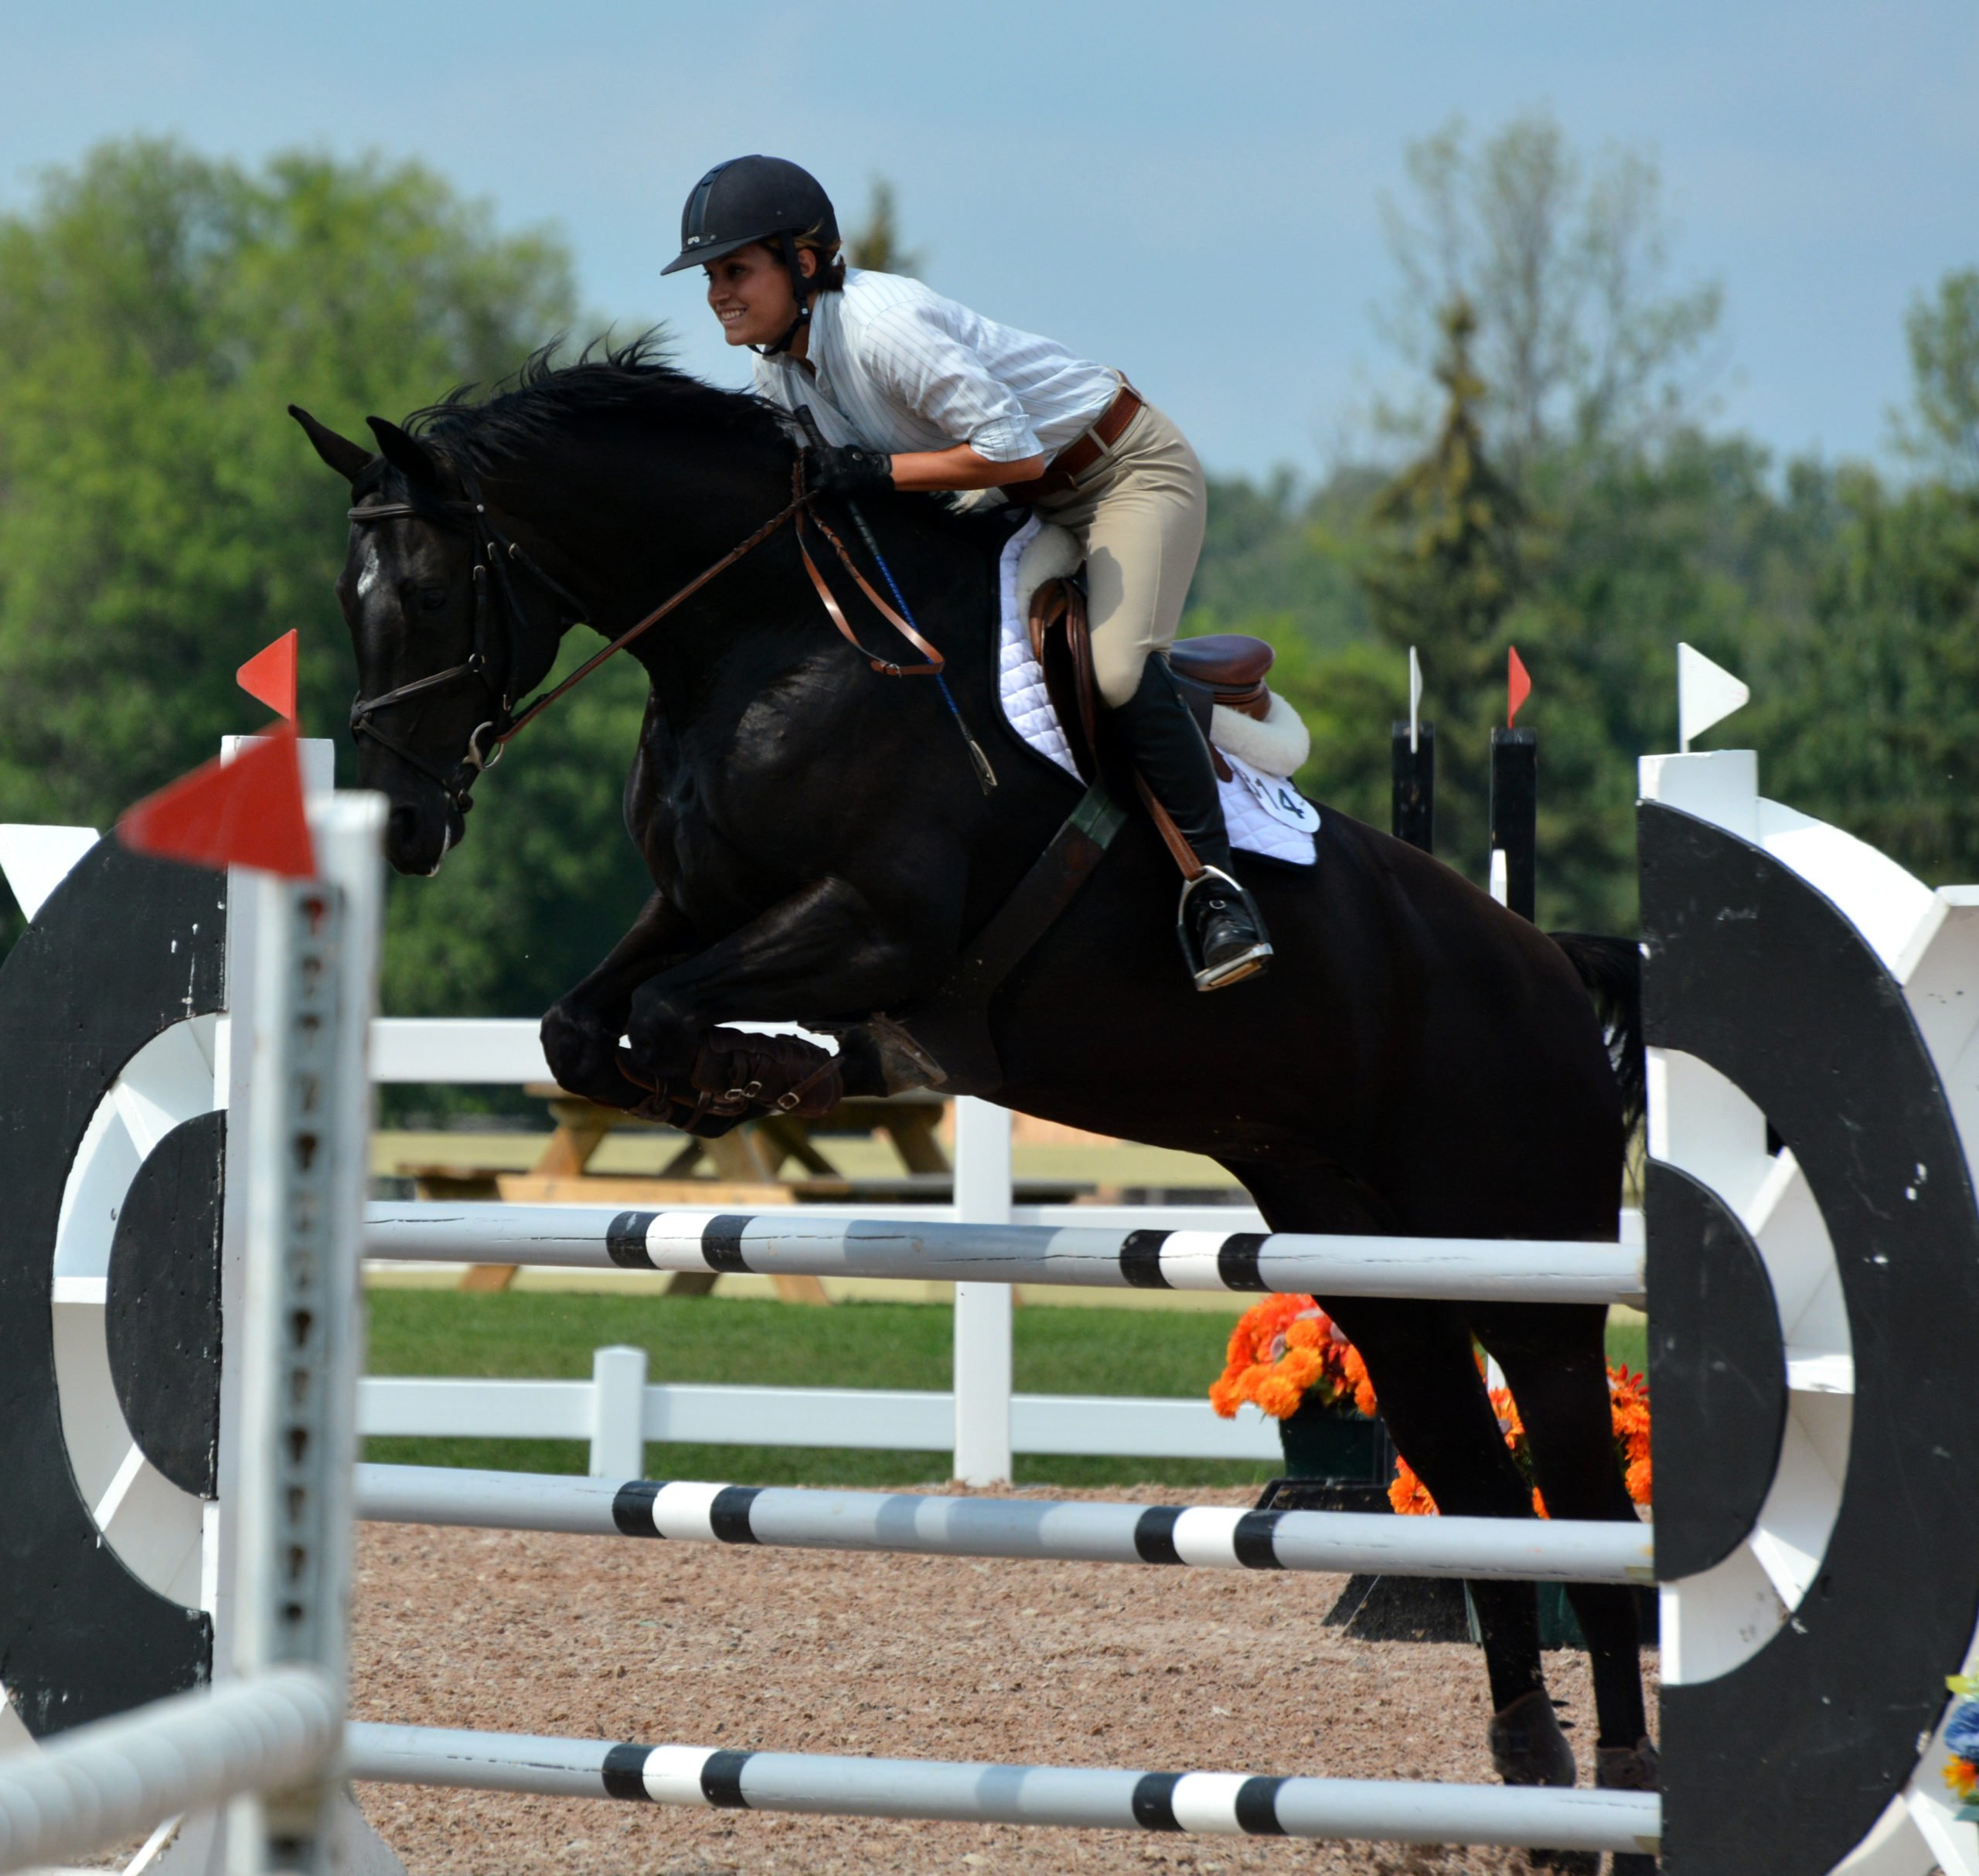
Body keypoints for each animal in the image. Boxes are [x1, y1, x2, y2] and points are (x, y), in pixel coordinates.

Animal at [293, 340, 1655, 1867]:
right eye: (347, 599)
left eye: (423, 593)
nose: (405, 827)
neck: (775, 640)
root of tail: (1549, 963)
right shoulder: (696, 905)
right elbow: (585, 1028)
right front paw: (746, 1077)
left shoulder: (878, 924)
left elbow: (667, 1012)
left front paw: (769, 1068)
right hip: (1376, 1267)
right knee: (1477, 1482)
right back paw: (1534, 1779)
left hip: (1526, 1266)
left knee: (1584, 1503)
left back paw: (1619, 1782)